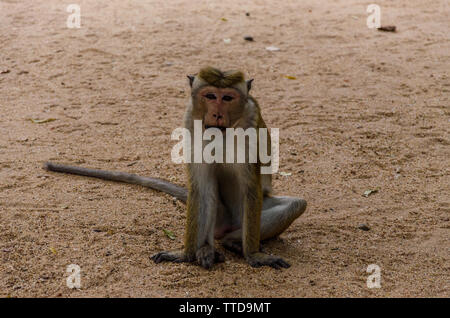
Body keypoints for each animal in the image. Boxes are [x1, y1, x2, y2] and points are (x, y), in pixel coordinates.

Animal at [44, 66, 306, 268]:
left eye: (227, 98)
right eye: (210, 96)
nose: (217, 114)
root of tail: (228, 225)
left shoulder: (251, 126)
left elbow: (251, 188)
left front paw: (254, 255)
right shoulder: (190, 121)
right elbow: (202, 188)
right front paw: (185, 255)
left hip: (243, 218)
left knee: (295, 204)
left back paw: (233, 242)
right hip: (220, 217)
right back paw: (205, 249)